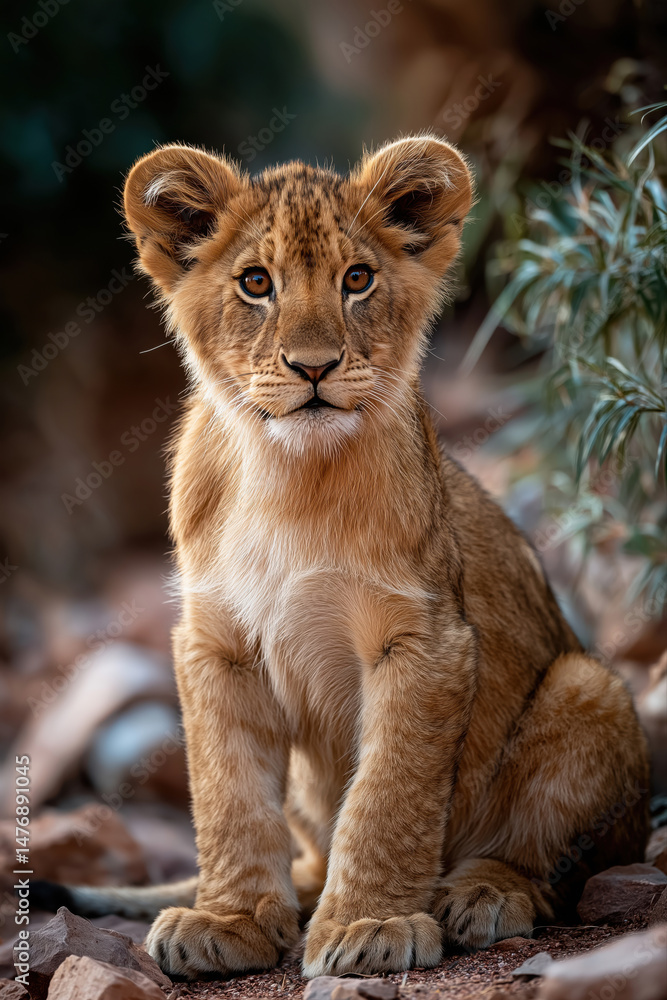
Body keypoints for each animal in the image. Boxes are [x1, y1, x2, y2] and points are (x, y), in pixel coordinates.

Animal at [35, 136, 649, 980]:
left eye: (356, 280)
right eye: (256, 283)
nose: (314, 367)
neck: (289, 476)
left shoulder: (424, 640)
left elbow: (388, 792)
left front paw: (370, 925)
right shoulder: (214, 642)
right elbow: (226, 791)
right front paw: (229, 920)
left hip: (587, 687)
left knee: (550, 860)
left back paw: (483, 895)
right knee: (309, 854)